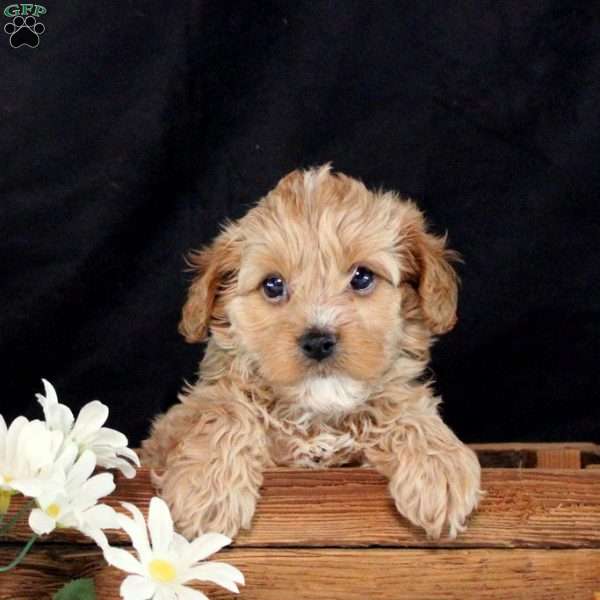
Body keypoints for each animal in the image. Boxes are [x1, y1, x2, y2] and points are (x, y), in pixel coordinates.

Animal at [144, 164, 482, 540]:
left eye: (362, 277)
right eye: (273, 285)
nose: (318, 341)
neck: (317, 413)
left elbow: (405, 407)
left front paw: (440, 466)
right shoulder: (166, 431)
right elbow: (222, 408)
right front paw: (208, 489)